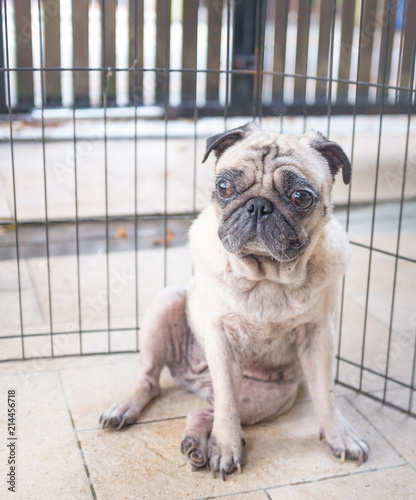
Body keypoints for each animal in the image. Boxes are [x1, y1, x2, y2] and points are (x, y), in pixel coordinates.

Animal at [99, 122, 368, 480]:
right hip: (167, 302)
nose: (258, 206)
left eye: (301, 197)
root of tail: (195, 381)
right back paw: (126, 408)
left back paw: (197, 445)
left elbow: (325, 392)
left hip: (268, 399)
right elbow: (227, 403)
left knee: (202, 412)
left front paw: (339, 434)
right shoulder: (222, 340)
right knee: (152, 381)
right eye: (224, 187)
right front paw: (226, 447)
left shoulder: (319, 335)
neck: (267, 277)